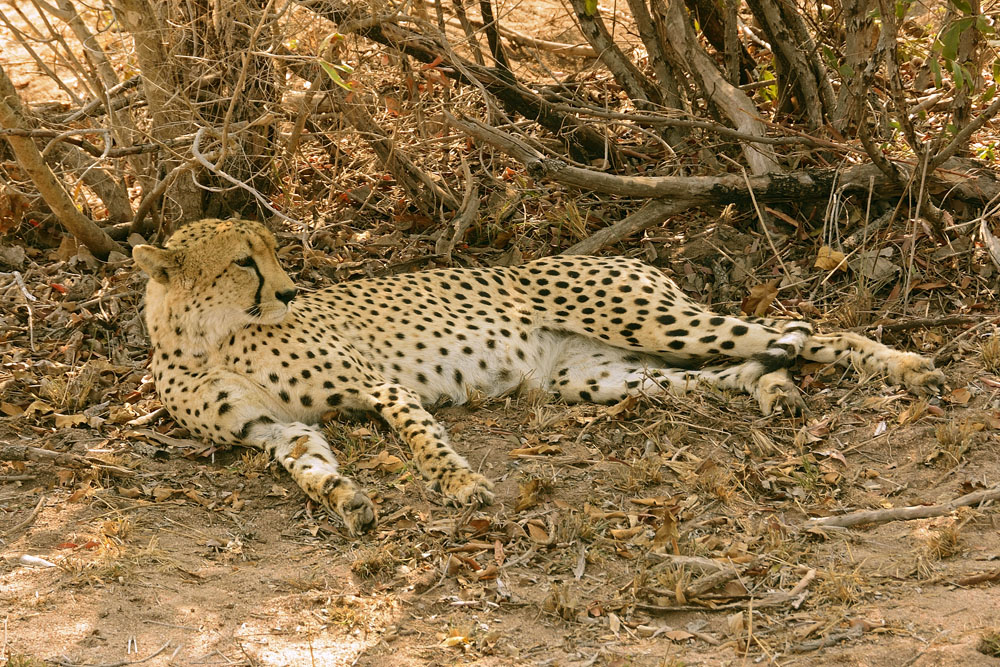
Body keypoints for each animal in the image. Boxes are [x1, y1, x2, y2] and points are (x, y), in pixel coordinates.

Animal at [133, 218, 945, 535]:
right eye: (245, 260)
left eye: (268, 252)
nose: (292, 290)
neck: (207, 340)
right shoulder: (274, 426)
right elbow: (308, 465)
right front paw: (345, 499)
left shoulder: (379, 385)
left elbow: (421, 435)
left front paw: (461, 485)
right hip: (599, 376)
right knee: (732, 365)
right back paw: (773, 388)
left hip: (649, 319)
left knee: (804, 330)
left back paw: (906, 366)